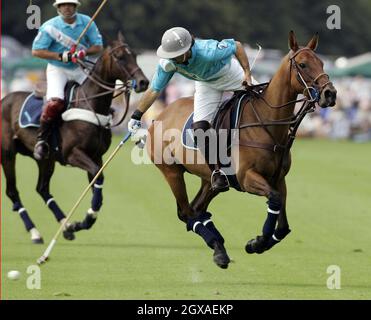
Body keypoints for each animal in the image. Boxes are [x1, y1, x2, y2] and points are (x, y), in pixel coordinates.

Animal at [1, 31, 150, 242]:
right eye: (120, 57)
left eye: (135, 55)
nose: (144, 82)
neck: (91, 105)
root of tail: (4, 98)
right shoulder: (73, 154)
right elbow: (98, 177)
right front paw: (84, 221)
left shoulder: (96, 156)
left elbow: (97, 184)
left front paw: (83, 221)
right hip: (7, 153)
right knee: (12, 191)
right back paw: (35, 231)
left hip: (45, 159)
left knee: (42, 189)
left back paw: (66, 225)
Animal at [145, 31, 338, 268]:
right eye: (302, 64)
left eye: (321, 62)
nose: (330, 93)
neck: (267, 122)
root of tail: (159, 116)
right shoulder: (247, 177)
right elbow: (274, 199)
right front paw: (258, 242)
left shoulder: (279, 179)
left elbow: (283, 225)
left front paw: (258, 243)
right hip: (171, 172)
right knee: (187, 213)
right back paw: (217, 246)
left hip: (209, 179)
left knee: (197, 209)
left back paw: (219, 248)